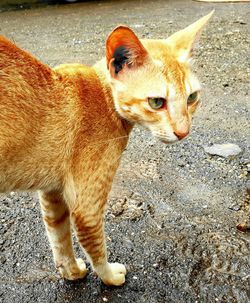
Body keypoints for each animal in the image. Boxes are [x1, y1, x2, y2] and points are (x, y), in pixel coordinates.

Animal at [0, 11, 213, 286]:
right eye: (157, 102)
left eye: (192, 98)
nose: (183, 132)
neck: (103, 97)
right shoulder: (87, 209)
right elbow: (97, 247)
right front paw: (109, 276)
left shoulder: (52, 193)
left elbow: (59, 239)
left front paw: (71, 271)